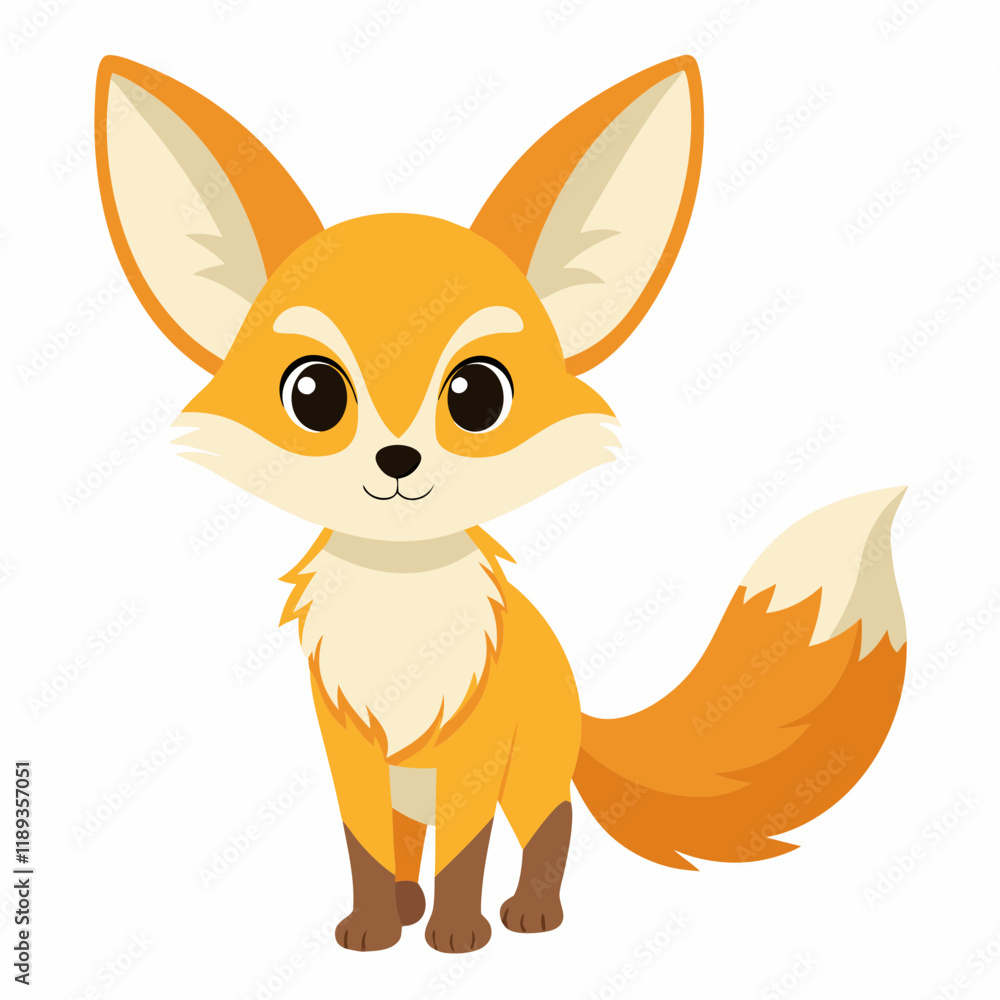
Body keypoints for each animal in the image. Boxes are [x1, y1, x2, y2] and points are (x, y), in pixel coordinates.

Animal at [94, 53, 907, 952]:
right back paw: (405, 906)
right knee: (409, 839)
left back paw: (532, 913)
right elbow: (365, 847)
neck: (399, 615)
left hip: (532, 772)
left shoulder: (474, 753)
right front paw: (373, 926)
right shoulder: (352, 749)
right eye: (313, 394)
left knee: (551, 826)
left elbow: (466, 851)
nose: (398, 459)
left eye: (477, 394)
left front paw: (457, 934)